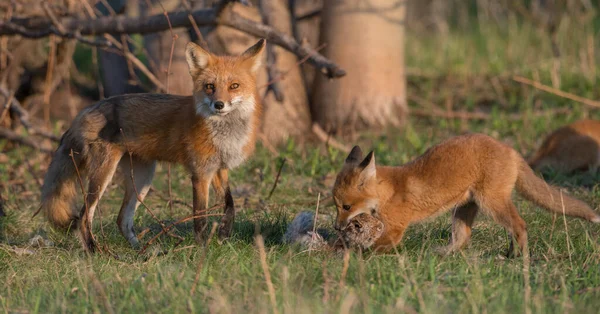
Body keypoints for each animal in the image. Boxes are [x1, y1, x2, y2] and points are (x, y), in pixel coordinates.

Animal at [41, 38, 266, 253]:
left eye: (234, 86)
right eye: (210, 87)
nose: (219, 104)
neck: (224, 134)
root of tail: (87, 109)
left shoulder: (219, 169)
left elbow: (230, 205)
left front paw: (224, 235)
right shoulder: (200, 173)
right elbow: (200, 217)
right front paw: (203, 250)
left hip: (142, 178)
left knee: (122, 219)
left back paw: (141, 252)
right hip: (103, 175)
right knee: (83, 217)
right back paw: (94, 251)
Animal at [332, 134, 600, 255]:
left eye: (346, 207)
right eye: (335, 205)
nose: (335, 227)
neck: (388, 192)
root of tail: (509, 149)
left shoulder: (396, 227)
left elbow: (375, 246)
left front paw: (351, 254)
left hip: (492, 202)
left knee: (520, 225)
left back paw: (519, 257)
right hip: (464, 209)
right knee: (463, 238)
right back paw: (445, 253)